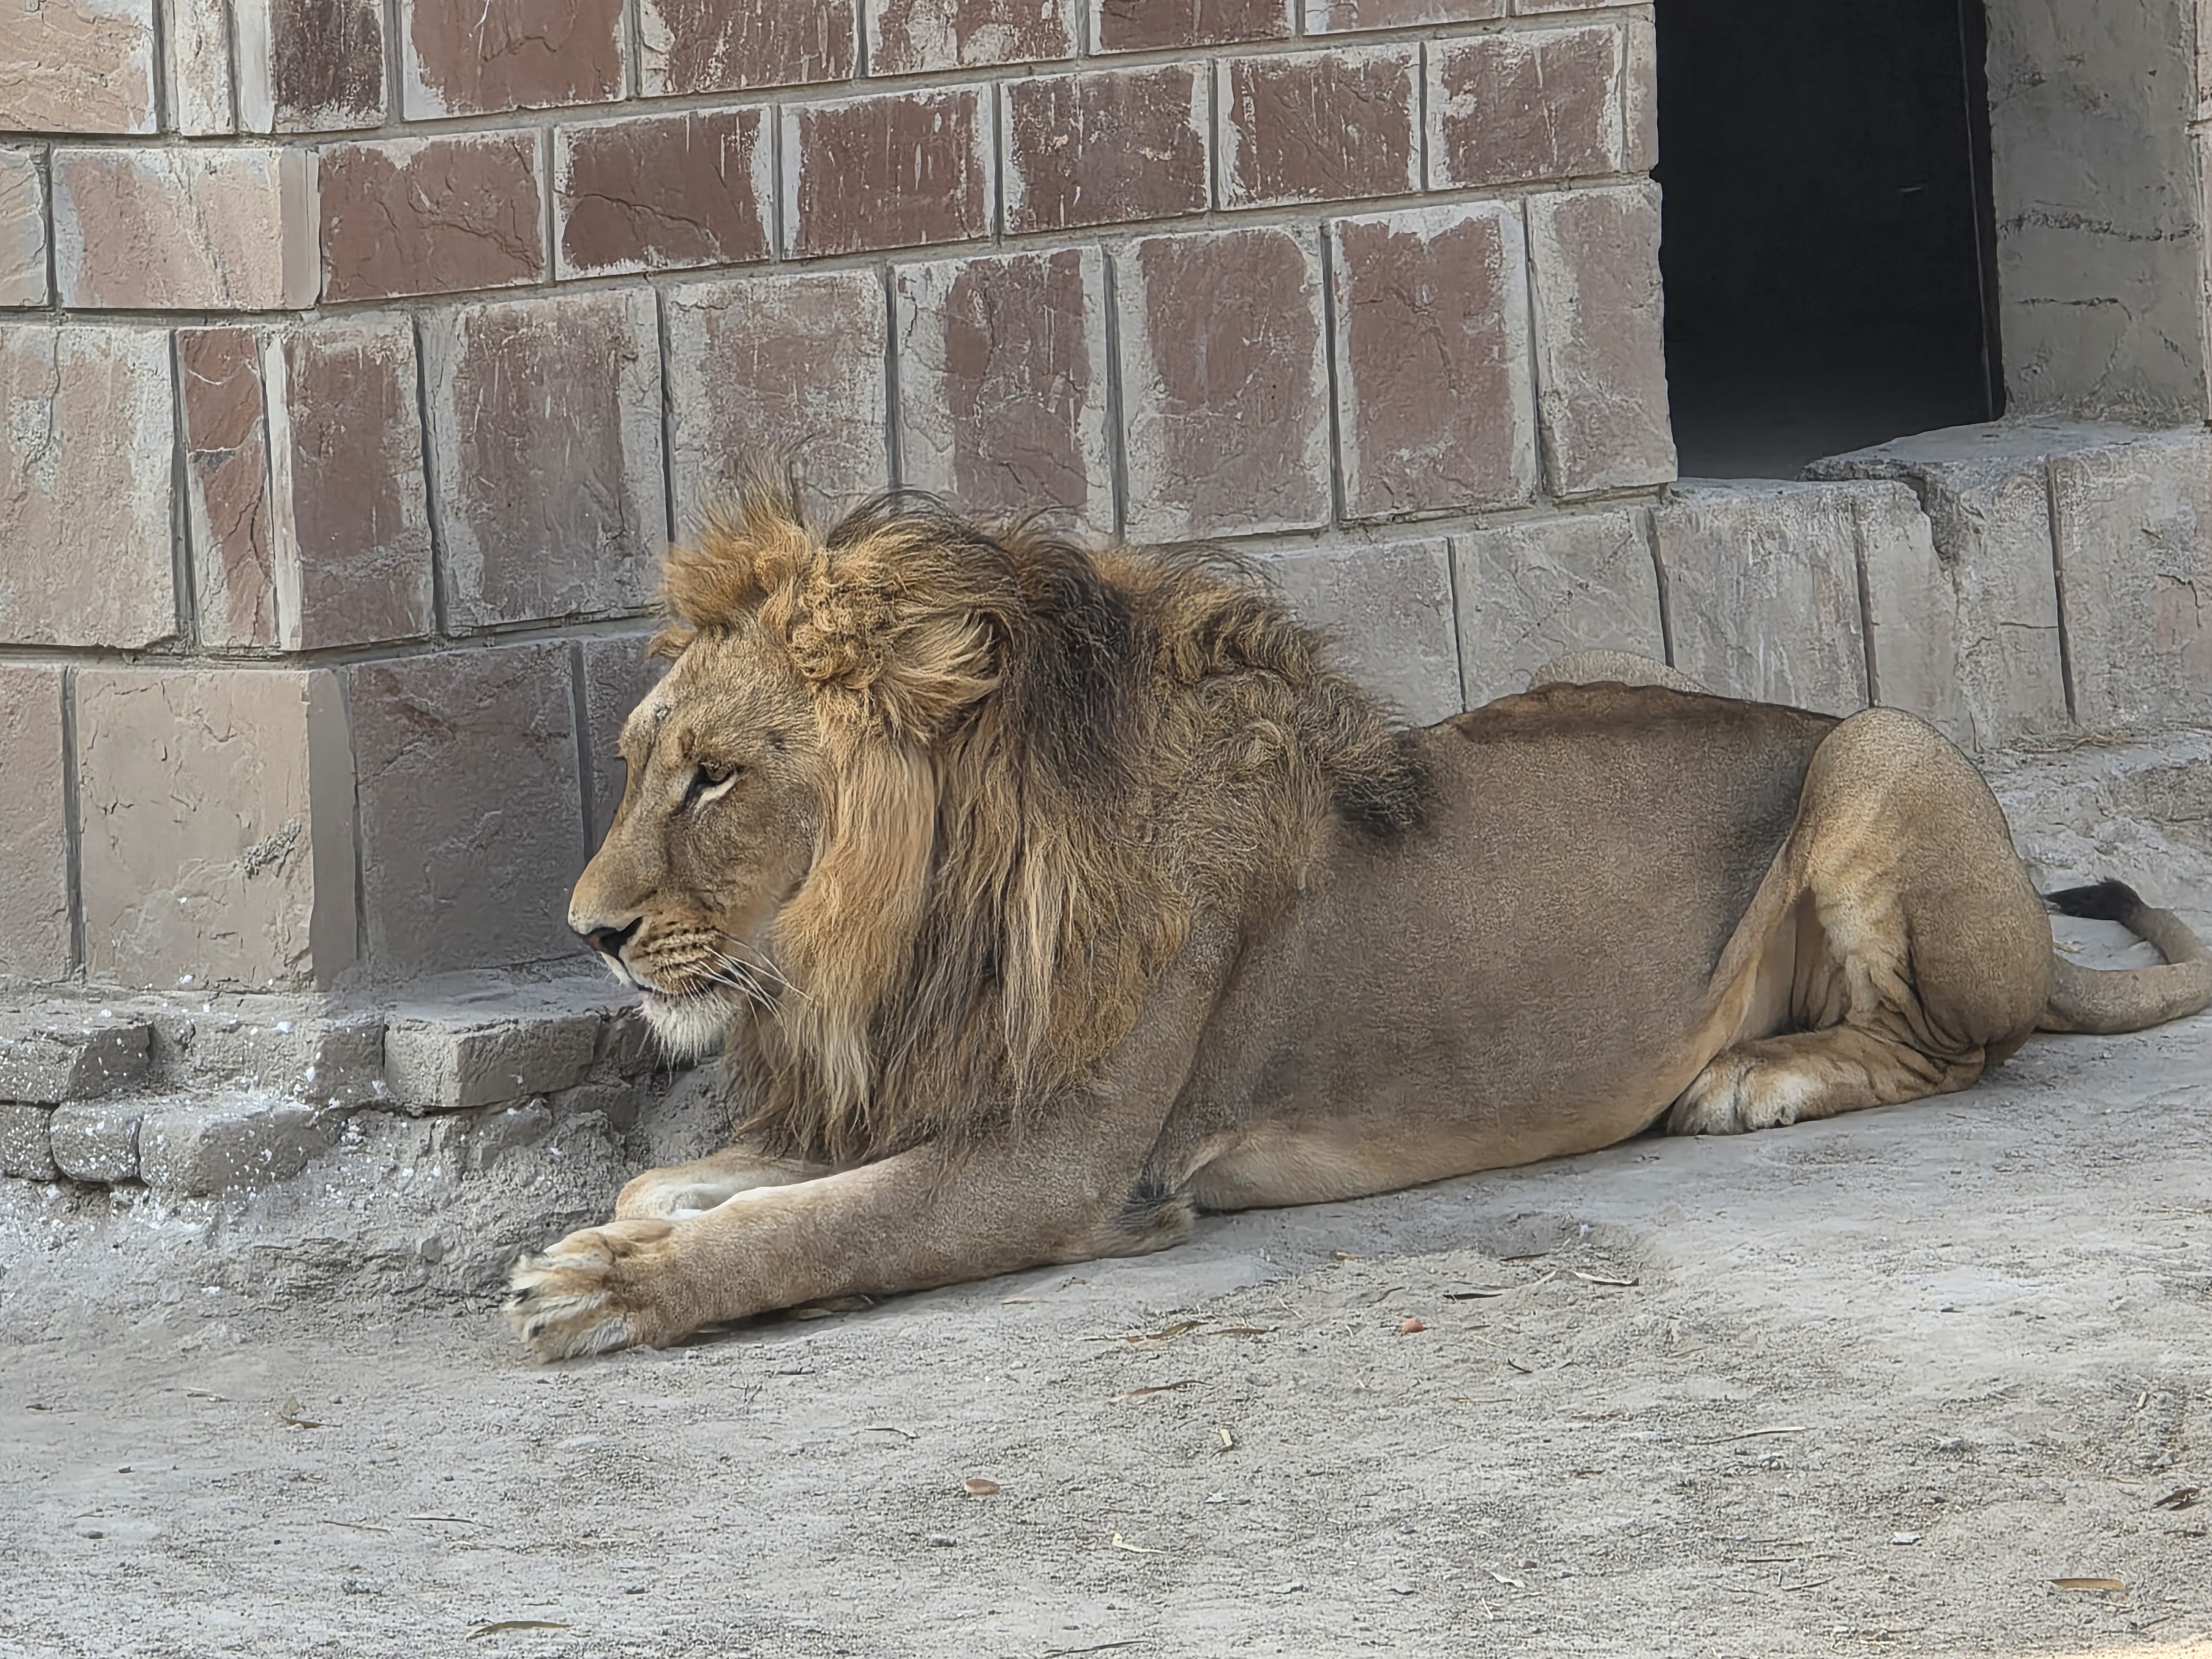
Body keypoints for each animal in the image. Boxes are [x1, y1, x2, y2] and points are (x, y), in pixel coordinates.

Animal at [508, 480, 2212, 1359]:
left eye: (715, 777)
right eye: (640, 765)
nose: (587, 932)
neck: (918, 929)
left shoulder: (1071, 1167)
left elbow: (819, 1224)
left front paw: (606, 1286)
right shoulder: (958, 1091)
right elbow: (707, 1178)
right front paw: (627, 1225)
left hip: (1880, 743)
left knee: (1960, 1042)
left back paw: (1757, 1079)